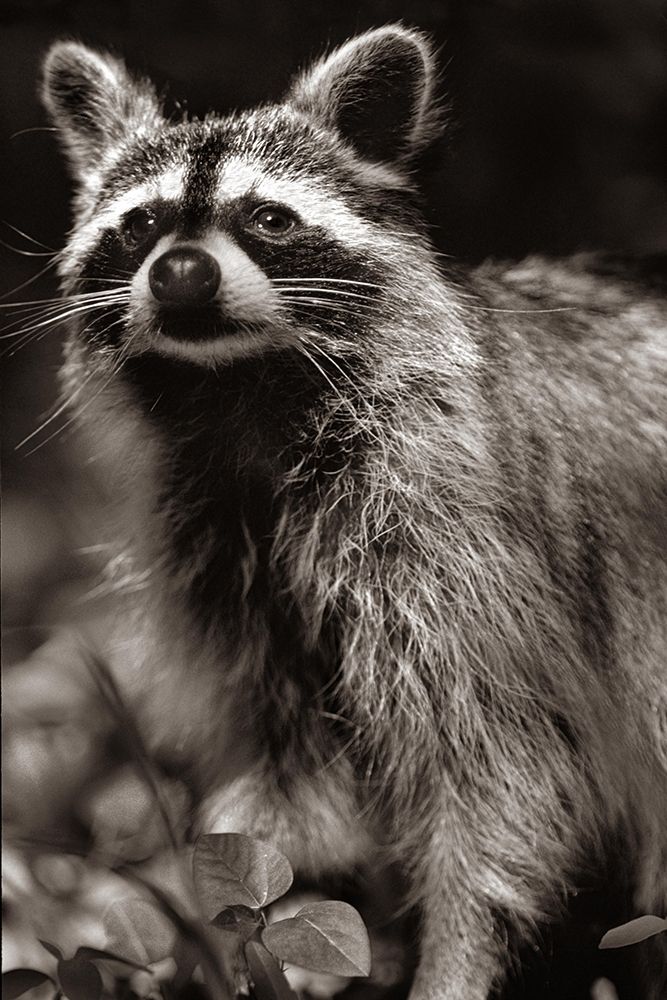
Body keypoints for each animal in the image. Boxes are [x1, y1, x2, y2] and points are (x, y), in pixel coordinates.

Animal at [40, 25, 666, 1000]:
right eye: (140, 223)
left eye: (268, 218)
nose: (179, 274)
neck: (241, 392)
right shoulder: (226, 554)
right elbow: (283, 773)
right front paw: (254, 923)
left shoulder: (461, 546)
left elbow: (506, 774)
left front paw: (455, 962)